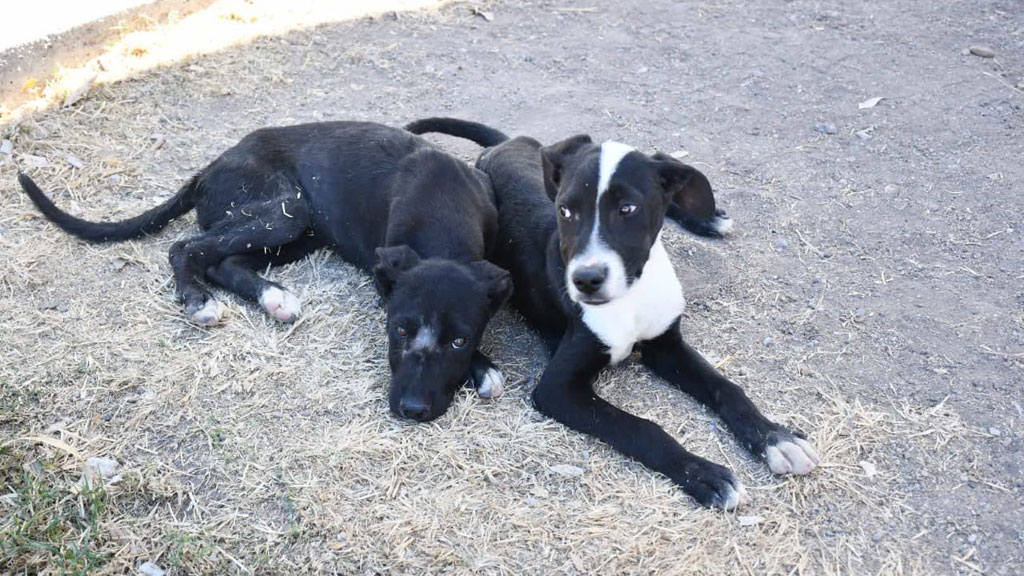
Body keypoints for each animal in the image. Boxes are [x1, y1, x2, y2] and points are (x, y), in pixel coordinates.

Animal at [22, 118, 520, 420]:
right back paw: (199, 301)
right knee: (186, 248)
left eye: (460, 340)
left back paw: (273, 298)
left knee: (224, 262)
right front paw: (484, 369)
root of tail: (208, 168)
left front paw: (481, 365)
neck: (441, 205)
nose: (412, 410)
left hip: (301, 230)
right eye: (398, 329)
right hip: (286, 210)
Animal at [405, 117, 815, 506]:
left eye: (627, 209)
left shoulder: (667, 344)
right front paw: (706, 476)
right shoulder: (557, 388)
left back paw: (708, 217)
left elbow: (726, 387)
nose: (586, 279)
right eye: (565, 210)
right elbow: (640, 428)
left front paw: (776, 438)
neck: (631, 295)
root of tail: (506, 144)